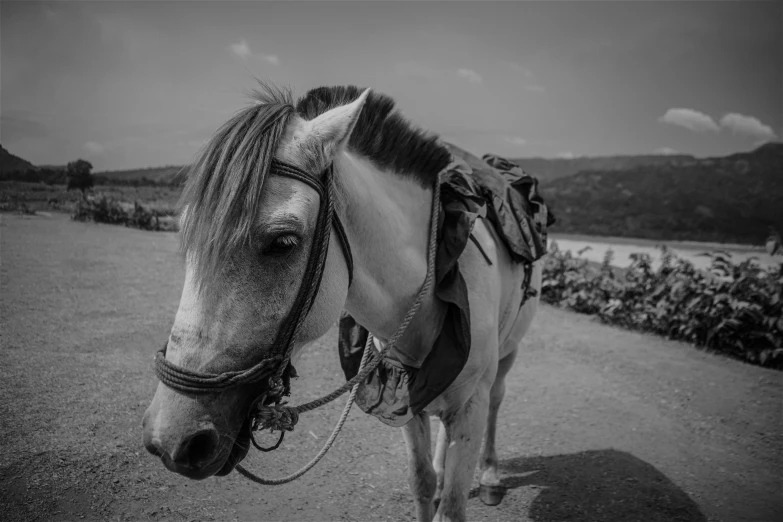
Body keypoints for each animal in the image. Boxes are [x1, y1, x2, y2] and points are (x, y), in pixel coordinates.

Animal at [142, 82, 544, 520]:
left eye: (283, 242)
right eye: (185, 232)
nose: (170, 438)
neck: (437, 273)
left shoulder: (470, 406)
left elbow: (453, 505)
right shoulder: (406, 398)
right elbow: (422, 481)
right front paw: (433, 480)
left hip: (508, 354)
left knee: (498, 401)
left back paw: (489, 476)